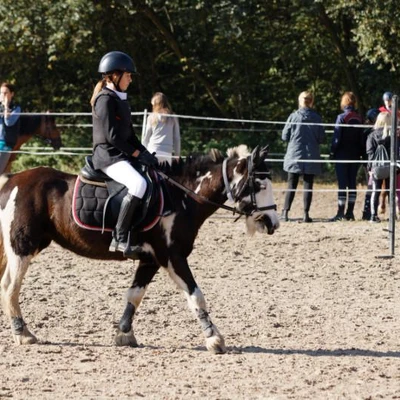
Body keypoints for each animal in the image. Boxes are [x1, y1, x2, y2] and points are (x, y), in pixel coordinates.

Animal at [0, 144, 278, 354]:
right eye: (260, 186)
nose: (273, 222)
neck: (182, 197)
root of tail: (12, 180)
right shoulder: (173, 257)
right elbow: (196, 295)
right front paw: (214, 338)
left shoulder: (150, 260)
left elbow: (135, 295)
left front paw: (124, 334)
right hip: (22, 247)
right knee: (11, 287)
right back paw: (22, 333)